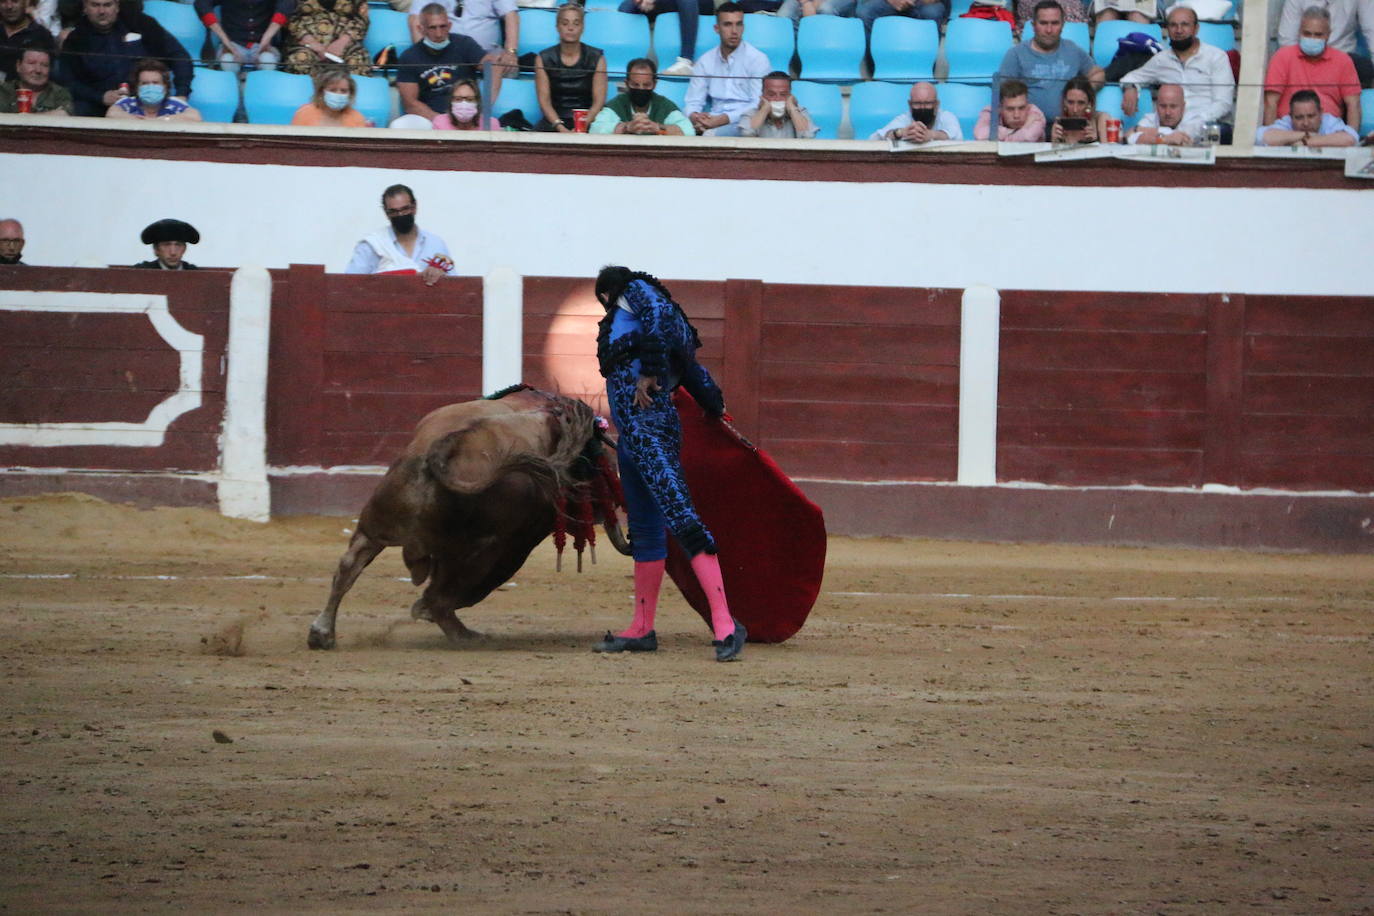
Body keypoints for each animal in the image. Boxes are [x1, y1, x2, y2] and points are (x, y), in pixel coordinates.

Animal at [307, 387, 629, 650]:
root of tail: (444, 448)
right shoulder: (519, 541)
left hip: (376, 523)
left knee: (349, 566)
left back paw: (322, 633)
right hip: (487, 547)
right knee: (445, 592)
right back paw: (462, 633)